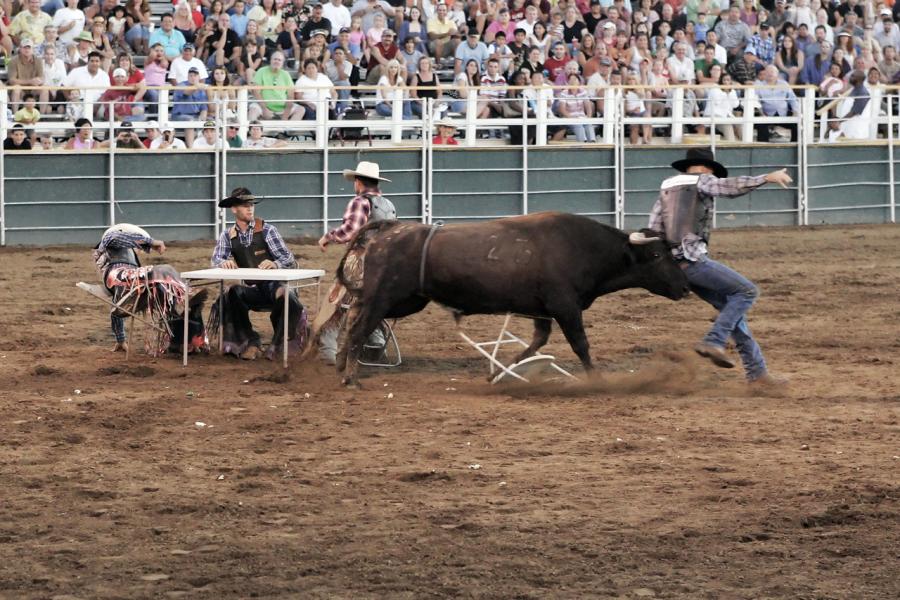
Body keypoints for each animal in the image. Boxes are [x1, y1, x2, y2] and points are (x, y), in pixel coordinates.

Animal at [333, 211, 691, 387]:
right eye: (657, 255)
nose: (686, 288)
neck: (585, 247)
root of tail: (390, 230)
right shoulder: (566, 307)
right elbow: (580, 344)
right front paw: (597, 379)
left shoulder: (541, 311)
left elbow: (536, 343)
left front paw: (497, 373)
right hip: (387, 297)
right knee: (359, 326)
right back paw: (350, 376)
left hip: (401, 300)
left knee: (351, 320)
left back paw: (340, 364)